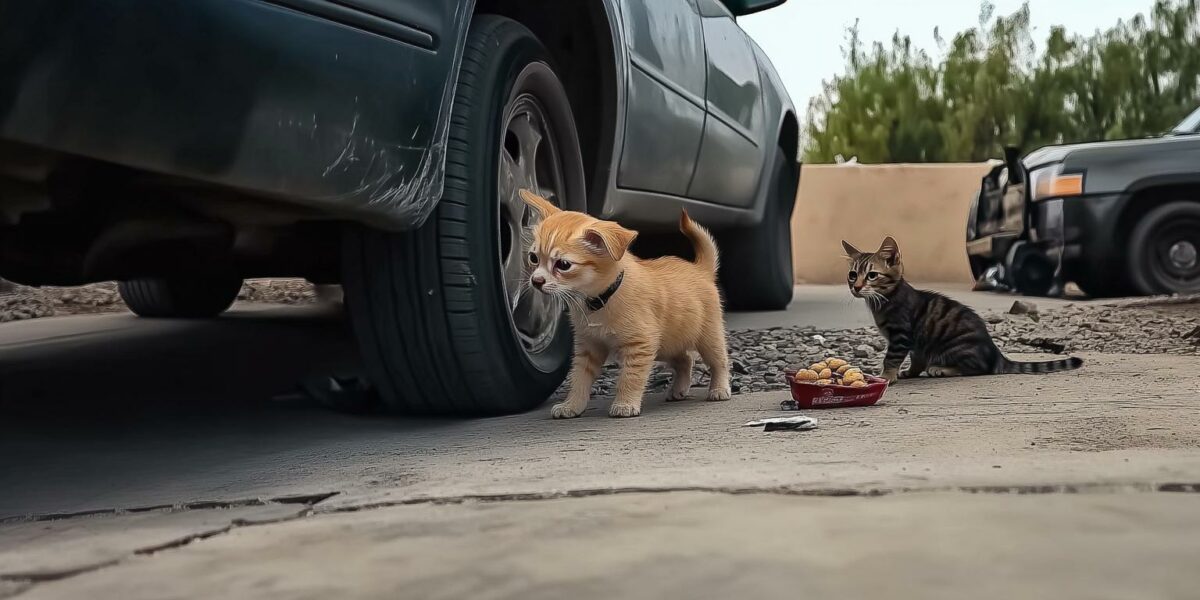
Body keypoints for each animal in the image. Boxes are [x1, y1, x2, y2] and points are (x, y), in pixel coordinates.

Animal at [518, 188, 729, 417]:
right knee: (685, 360)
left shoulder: (639, 345)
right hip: (667, 345)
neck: (600, 301)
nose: (536, 281)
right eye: (533, 258)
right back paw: (679, 389)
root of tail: (700, 268)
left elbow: (630, 379)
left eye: (563, 264)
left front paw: (625, 403)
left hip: (707, 339)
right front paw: (572, 405)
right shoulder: (589, 348)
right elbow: (579, 379)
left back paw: (719, 388)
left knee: (719, 361)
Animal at [840, 235, 1084, 381]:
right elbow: (916, 360)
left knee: (978, 368)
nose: (856, 287)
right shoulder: (916, 344)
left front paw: (887, 376)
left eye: (872, 275)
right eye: (852, 275)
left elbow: (891, 358)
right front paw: (908, 372)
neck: (884, 300)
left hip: (957, 345)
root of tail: (996, 354)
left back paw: (942, 369)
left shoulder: (901, 335)